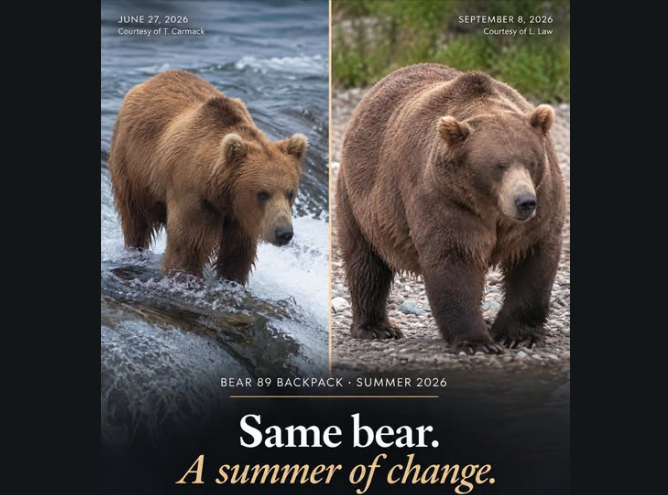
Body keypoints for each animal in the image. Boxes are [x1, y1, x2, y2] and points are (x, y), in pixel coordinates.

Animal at [108, 70, 307, 284]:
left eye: (290, 193)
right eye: (262, 193)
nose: (284, 233)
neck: (221, 195)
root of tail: (150, 81)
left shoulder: (242, 219)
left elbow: (237, 255)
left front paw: (231, 279)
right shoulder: (193, 198)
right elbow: (187, 250)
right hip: (131, 167)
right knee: (135, 219)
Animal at [336, 64, 565, 354]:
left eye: (531, 162)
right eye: (498, 166)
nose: (525, 201)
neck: (490, 207)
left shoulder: (543, 200)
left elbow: (533, 259)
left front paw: (518, 335)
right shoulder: (447, 198)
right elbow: (454, 257)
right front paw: (476, 342)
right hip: (360, 203)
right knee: (366, 263)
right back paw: (376, 328)